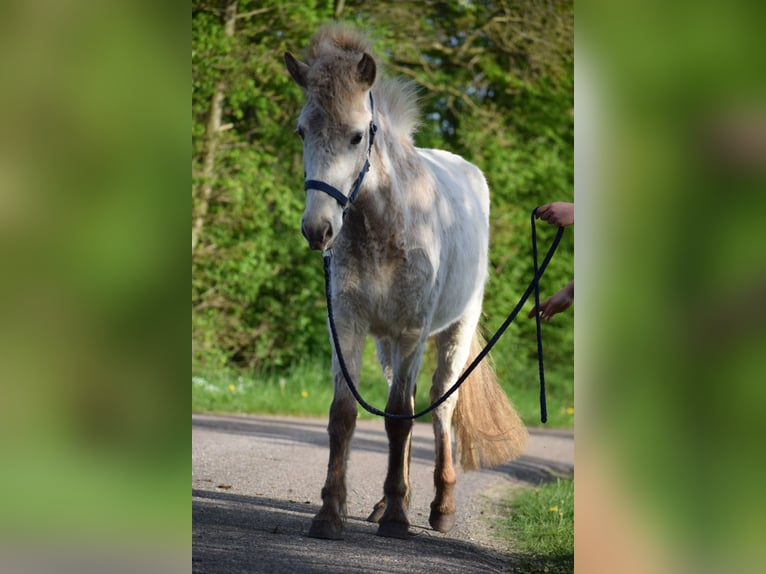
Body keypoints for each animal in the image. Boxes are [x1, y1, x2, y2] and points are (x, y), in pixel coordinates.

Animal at [284, 22, 532, 544]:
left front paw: (399, 519)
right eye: (302, 130)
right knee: (414, 401)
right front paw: (331, 514)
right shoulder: (350, 327)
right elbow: (344, 416)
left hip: (450, 334)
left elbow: (399, 419)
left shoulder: (412, 332)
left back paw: (440, 506)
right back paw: (386, 501)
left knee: (439, 407)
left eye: (357, 135)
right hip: (387, 346)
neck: (382, 224)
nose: (318, 230)